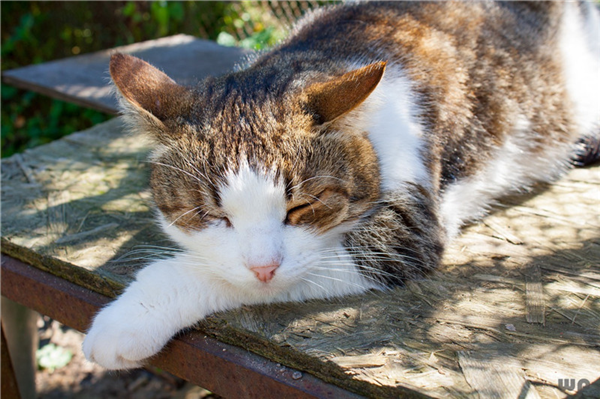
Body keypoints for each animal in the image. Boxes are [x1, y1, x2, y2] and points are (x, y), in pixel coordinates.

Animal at [82, 0, 596, 370]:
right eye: (213, 216)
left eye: (301, 208)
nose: (263, 267)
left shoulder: (404, 231)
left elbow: (242, 271)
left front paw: (131, 316)